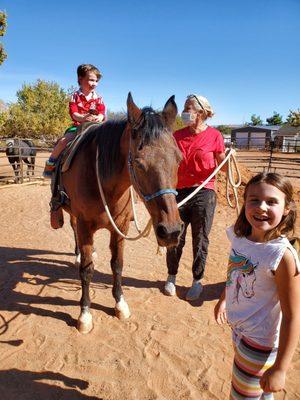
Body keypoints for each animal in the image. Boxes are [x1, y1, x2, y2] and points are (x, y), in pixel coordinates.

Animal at [56, 93, 183, 332]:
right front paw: (84, 315)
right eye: (139, 164)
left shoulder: (121, 226)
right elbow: (87, 270)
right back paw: (77, 254)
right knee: (73, 228)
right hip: (73, 214)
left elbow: (117, 265)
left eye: (179, 159)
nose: (171, 231)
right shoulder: (86, 226)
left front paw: (120, 304)